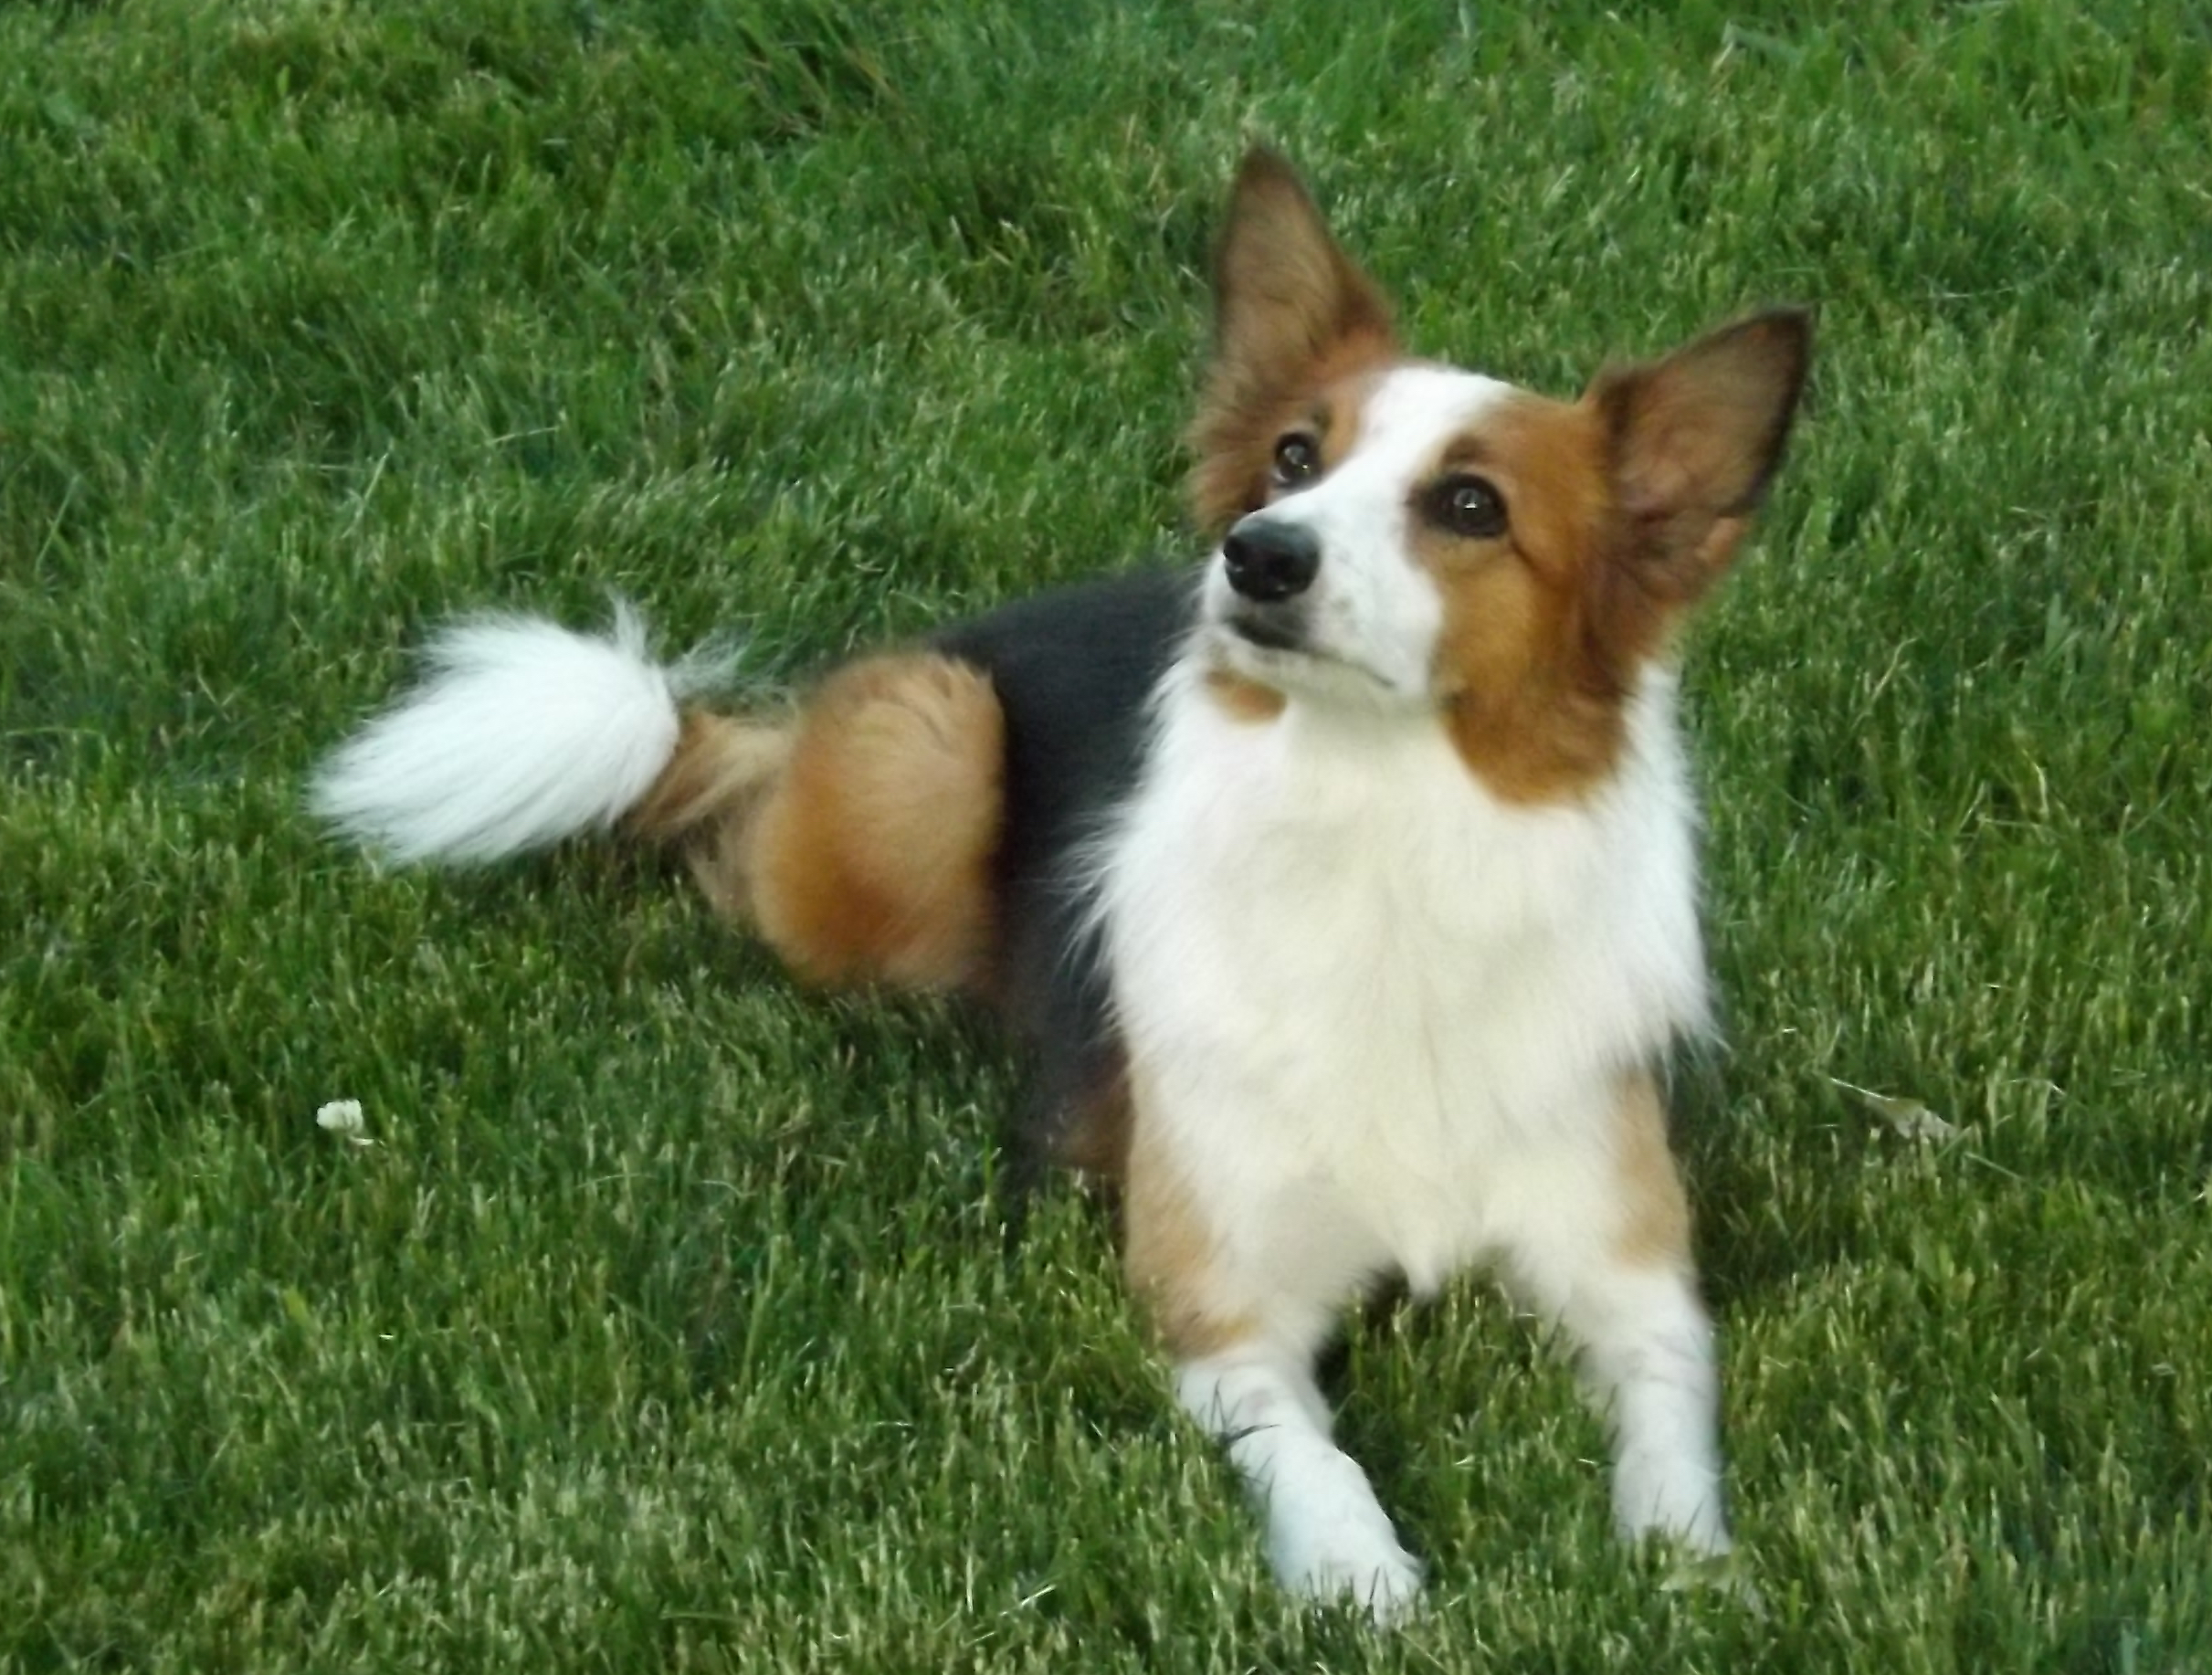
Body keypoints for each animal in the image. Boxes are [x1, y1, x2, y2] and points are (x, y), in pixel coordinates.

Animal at [316, 150, 1814, 1610]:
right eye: (1292, 455)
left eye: (1469, 506)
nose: (1257, 551)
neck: (1377, 827)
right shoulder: (1218, 1300)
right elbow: (1315, 1458)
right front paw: (1362, 1576)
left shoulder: (1631, 1264)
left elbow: (1672, 1430)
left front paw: (1686, 1571)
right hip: (925, 741)